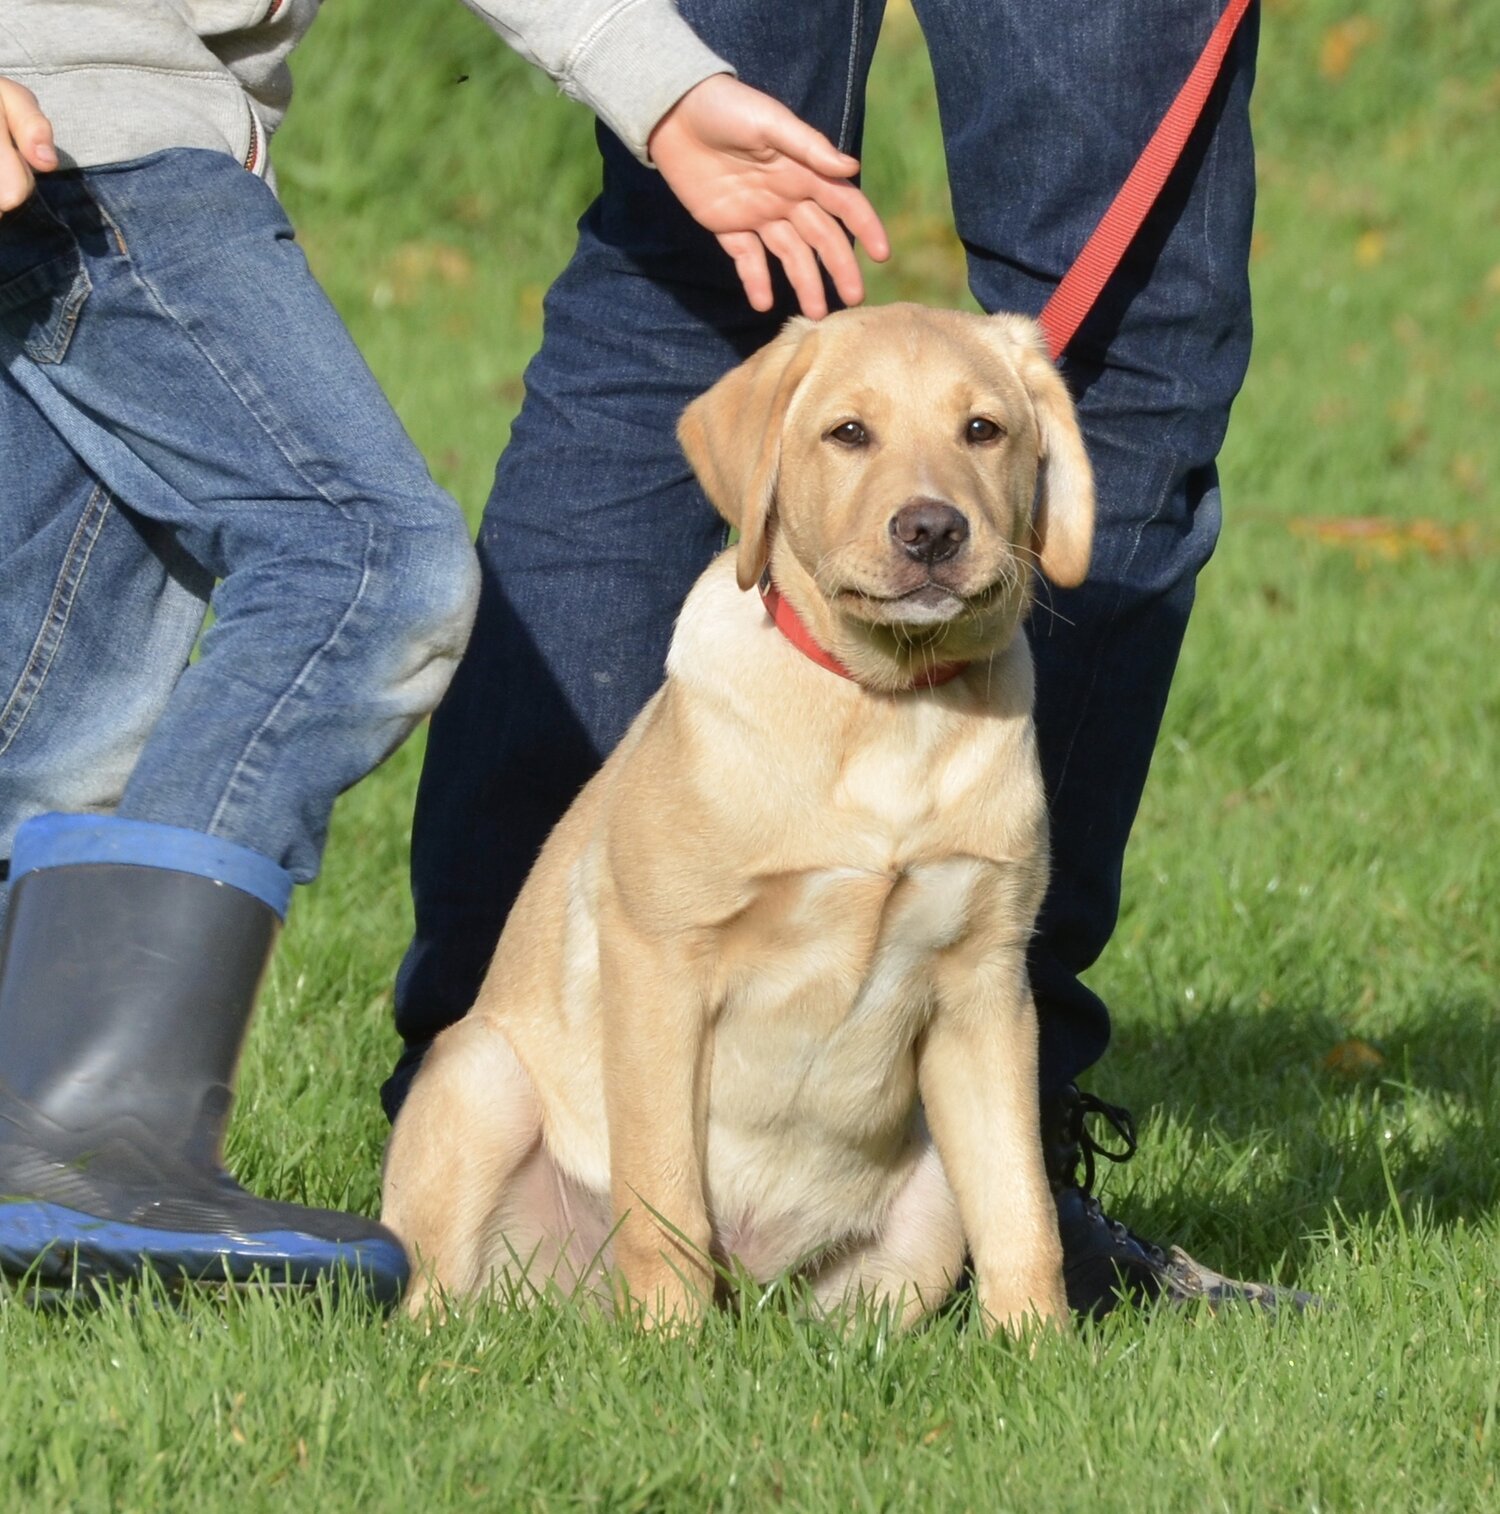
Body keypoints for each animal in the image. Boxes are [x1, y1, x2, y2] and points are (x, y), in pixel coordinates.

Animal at [381, 304, 1095, 1338]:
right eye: (849, 433)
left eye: (983, 430)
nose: (931, 529)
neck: (883, 707)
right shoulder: (659, 963)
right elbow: (663, 1199)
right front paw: (670, 1350)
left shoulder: (986, 988)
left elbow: (1021, 1206)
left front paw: (1038, 1349)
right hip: (480, 1075)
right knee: (437, 1288)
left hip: (924, 1206)